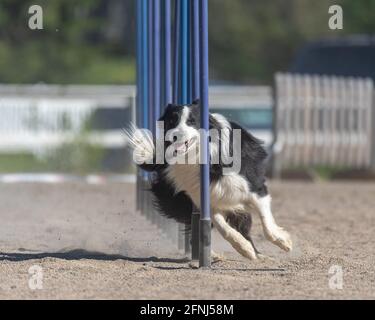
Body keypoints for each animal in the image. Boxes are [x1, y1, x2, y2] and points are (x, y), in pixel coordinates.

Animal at [127, 102, 294, 260]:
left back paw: (259, 255)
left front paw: (283, 242)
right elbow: (223, 228)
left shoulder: (254, 188)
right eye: (171, 121)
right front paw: (243, 248)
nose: (174, 136)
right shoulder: (206, 199)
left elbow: (267, 224)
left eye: (191, 121)